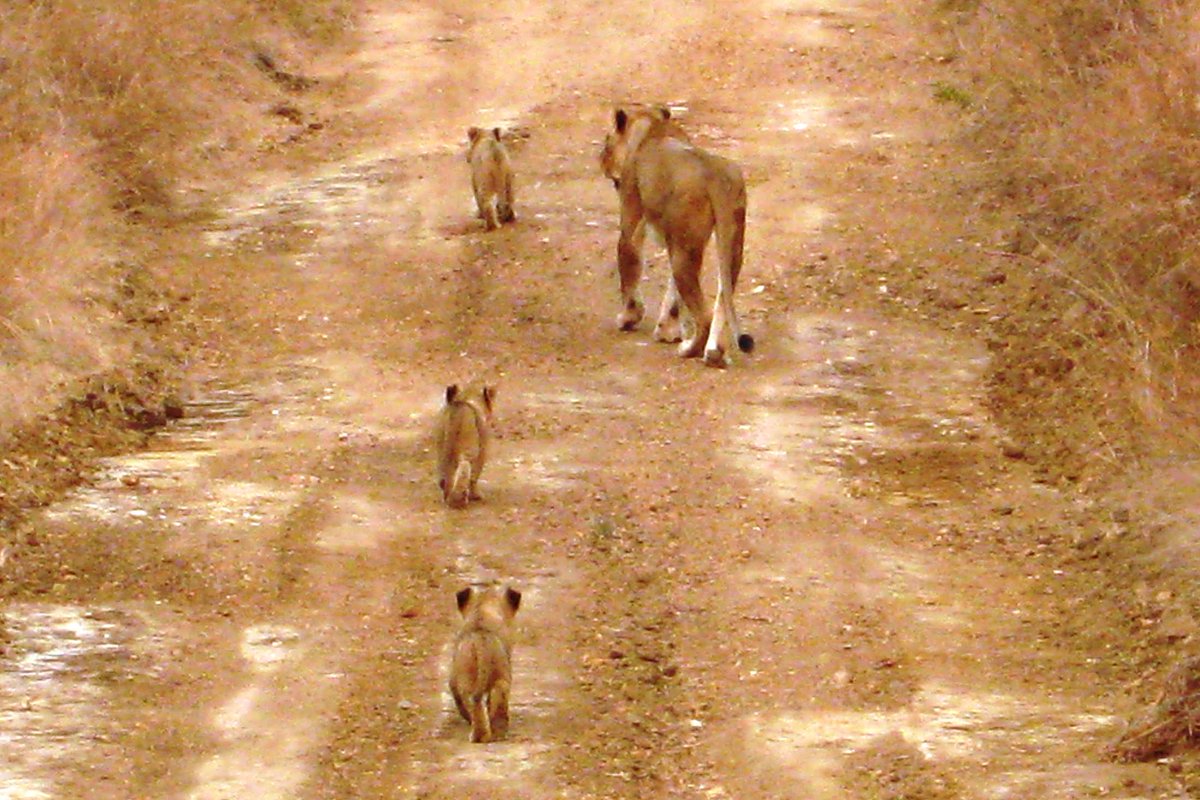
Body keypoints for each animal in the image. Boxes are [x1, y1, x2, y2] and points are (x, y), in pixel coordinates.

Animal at [448, 582, 522, 743]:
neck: (481, 608)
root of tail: (480, 637)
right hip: (502, 679)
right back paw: (499, 733)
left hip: (466, 681)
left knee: (474, 703)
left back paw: (478, 734)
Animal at [599, 104, 754, 366]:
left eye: (607, 142)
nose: (601, 160)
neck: (652, 127)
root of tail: (714, 174)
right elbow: (673, 297)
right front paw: (667, 331)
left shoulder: (631, 222)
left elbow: (629, 266)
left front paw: (628, 318)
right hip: (729, 243)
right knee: (723, 295)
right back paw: (715, 353)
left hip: (685, 253)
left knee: (704, 317)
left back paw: (689, 349)